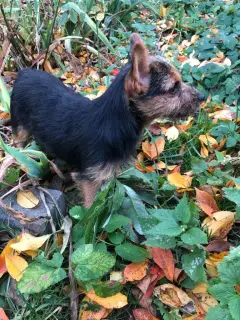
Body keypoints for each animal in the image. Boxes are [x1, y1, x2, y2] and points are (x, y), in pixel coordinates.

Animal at [10, 33, 203, 208]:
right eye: (173, 88)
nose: (202, 96)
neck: (114, 123)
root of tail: (23, 73)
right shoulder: (90, 181)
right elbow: (91, 209)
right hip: (20, 128)